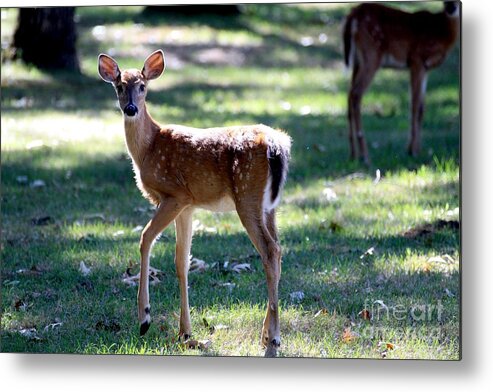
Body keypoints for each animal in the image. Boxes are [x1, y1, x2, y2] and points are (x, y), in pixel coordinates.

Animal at [98, 49, 290, 358]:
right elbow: (182, 261)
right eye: (119, 86)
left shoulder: (175, 195)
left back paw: (272, 342)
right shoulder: (188, 206)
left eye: (143, 86)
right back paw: (266, 336)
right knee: (278, 250)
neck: (148, 149)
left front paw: (145, 318)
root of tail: (278, 145)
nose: (130, 109)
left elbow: (145, 238)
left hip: (247, 196)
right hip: (269, 206)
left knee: (270, 251)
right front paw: (185, 333)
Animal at [340, 1, 460, 164]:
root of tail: (352, 15)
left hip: (357, 61)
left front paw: (417, 150)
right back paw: (365, 155)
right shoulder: (417, 60)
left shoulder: (426, 69)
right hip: (371, 54)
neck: (442, 30)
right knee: (356, 94)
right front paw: (413, 151)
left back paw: (353, 154)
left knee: (349, 94)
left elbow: (421, 108)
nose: (451, 7)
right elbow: (414, 106)